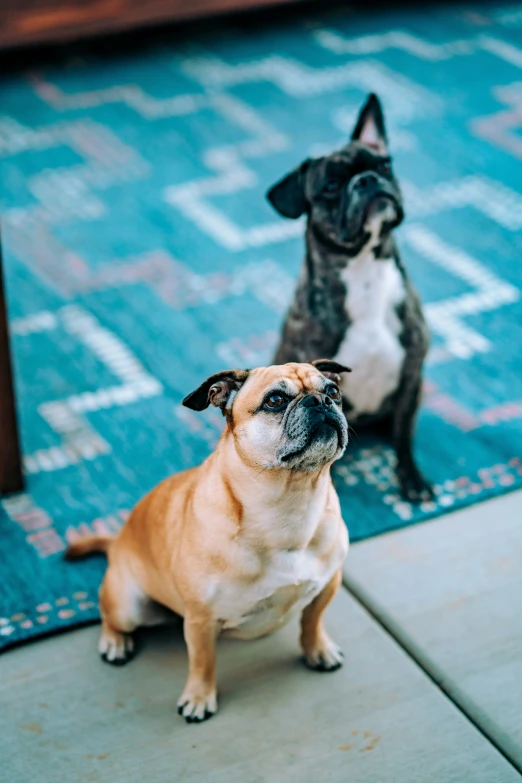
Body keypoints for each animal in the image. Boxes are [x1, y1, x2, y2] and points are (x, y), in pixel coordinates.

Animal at [66, 362, 350, 724]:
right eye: (275, 400)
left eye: (333, 391)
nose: (321, 401)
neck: (290, 502)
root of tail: (117, 542)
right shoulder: (201, 620)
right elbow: (203, 662)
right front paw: (199, 698)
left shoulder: (328, 584)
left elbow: (312, 622)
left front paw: (318, 650)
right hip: (129, 606)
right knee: (109, 615)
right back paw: (114, 642)